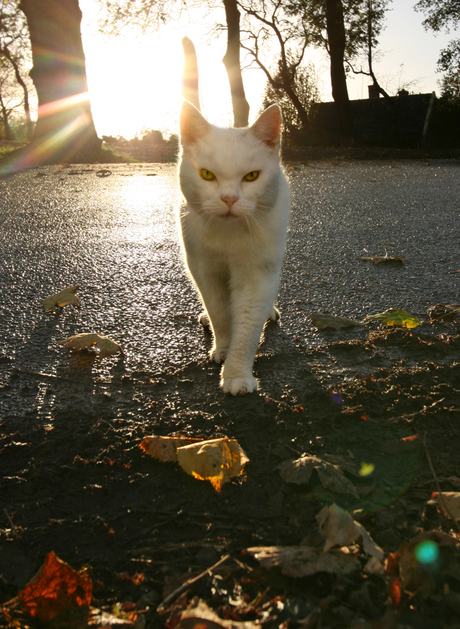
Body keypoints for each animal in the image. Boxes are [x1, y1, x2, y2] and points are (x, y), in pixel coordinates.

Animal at [178, 40, 290, 392]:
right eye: (207, 175)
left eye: (251, 176)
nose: (229, 198)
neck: (228, 239)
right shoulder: (205, 270)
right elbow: (220, 315)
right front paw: (223, 349)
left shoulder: (257, 274)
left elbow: (247, 325)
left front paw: (237, 373)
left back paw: (270, 312)